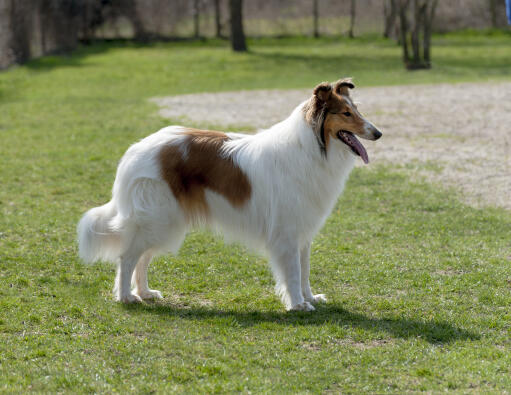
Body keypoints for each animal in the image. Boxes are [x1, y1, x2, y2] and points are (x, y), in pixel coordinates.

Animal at [78, 78, 382, 312]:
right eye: (345, 113)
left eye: (356, 110)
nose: (378, 133)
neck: (311, 148)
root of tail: (135, 150)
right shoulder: (286, 233)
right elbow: (293, 274)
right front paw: (297, 304)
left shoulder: (303, 233)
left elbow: (304, 271)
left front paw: (310, 298)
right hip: (157, 218)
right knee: (127, 257)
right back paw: (126, 297)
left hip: (163, 223)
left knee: (142, 258)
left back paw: (145, 293)